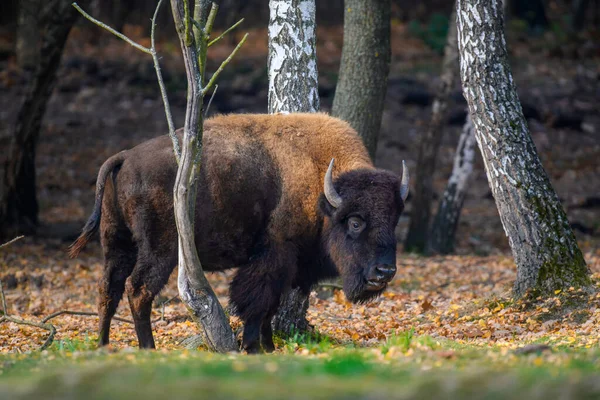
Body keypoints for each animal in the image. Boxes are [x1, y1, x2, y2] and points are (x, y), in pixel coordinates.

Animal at [69, 111, 408, 352]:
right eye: (355, 222)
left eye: (394, 220)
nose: (384, 272)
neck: (320, 181)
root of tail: (125, 156)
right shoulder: (274, 255)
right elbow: (257, 302)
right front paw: (254, 347)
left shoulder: (285, 265)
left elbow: (271, 303)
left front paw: (269, 347)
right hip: (159, 249)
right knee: (138, 290)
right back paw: (147, 349)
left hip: (117, 242)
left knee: (108, 288)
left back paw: (102, 346)